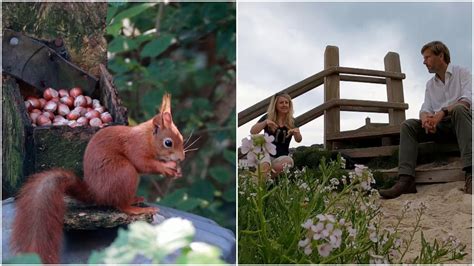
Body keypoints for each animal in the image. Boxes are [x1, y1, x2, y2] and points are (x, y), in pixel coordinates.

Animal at [10, 92, 185, 262]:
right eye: (168, 143)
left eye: (181, 138)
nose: (182, 158)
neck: (147, 138)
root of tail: (95, 193)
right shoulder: (136, 147)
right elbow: (142, 164)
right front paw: (166, 168)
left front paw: (176, 170)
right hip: (125, 173)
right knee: (121, 205)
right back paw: (137, 209)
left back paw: (136, 199)